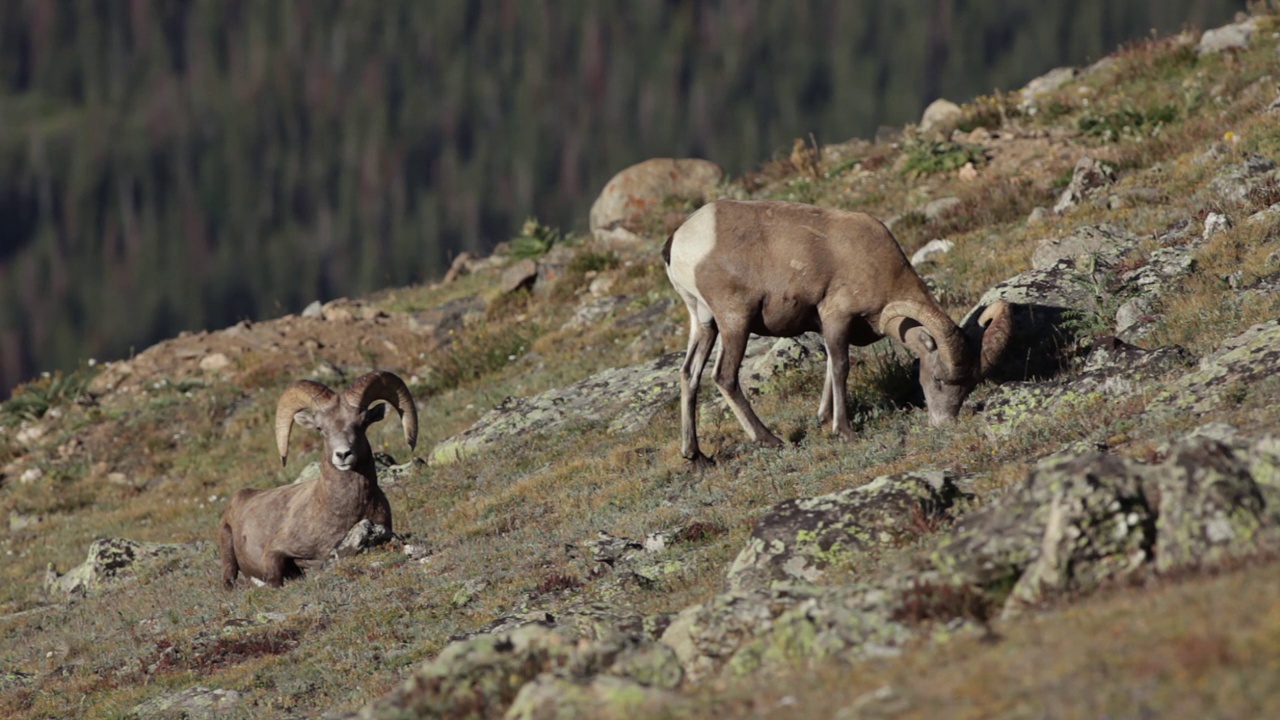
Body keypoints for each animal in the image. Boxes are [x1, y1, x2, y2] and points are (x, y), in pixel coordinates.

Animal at [660, 198, 1008, 461]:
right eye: (937, 379)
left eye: (967, 386)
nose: (944, 423)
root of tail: (680, 240)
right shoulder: (836, 316)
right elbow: (840, 366)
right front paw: (844, 431)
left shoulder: (826, 325)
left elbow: (829, 365)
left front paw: (824, 418)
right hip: (735, 321)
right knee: (724, 377)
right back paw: (770, 439)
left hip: (704, 324)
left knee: (689, 374)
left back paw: (696, 456)